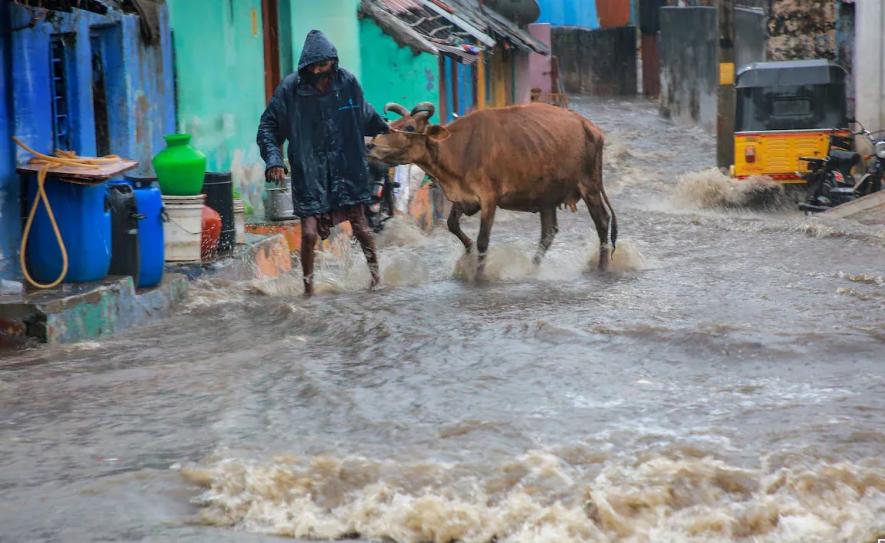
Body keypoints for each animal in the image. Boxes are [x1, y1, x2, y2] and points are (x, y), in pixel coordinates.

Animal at [366, 101, 616, 276]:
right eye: (392, 125)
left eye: (408, 127)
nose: (370, 144)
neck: (457, 148)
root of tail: (590, 127)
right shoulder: (464, 198)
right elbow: (452, 225)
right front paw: (467, 254)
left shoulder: (489, 199)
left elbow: (483, 241)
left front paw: (479, 275)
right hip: (547, 197)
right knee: (548, 233)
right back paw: (532, 269)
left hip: (590, 186)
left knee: (602, 222)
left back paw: (602, 268)